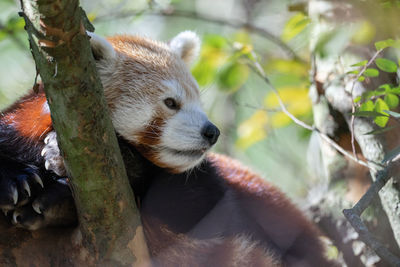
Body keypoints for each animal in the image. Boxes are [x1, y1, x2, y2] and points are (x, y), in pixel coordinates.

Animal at [0, 30, 334, 266]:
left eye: (198, 102)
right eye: (171, 103)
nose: (211, 132)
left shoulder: (207, 188)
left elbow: (191, 204)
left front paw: (123, 163)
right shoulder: (19, 125)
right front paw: (17, 181)